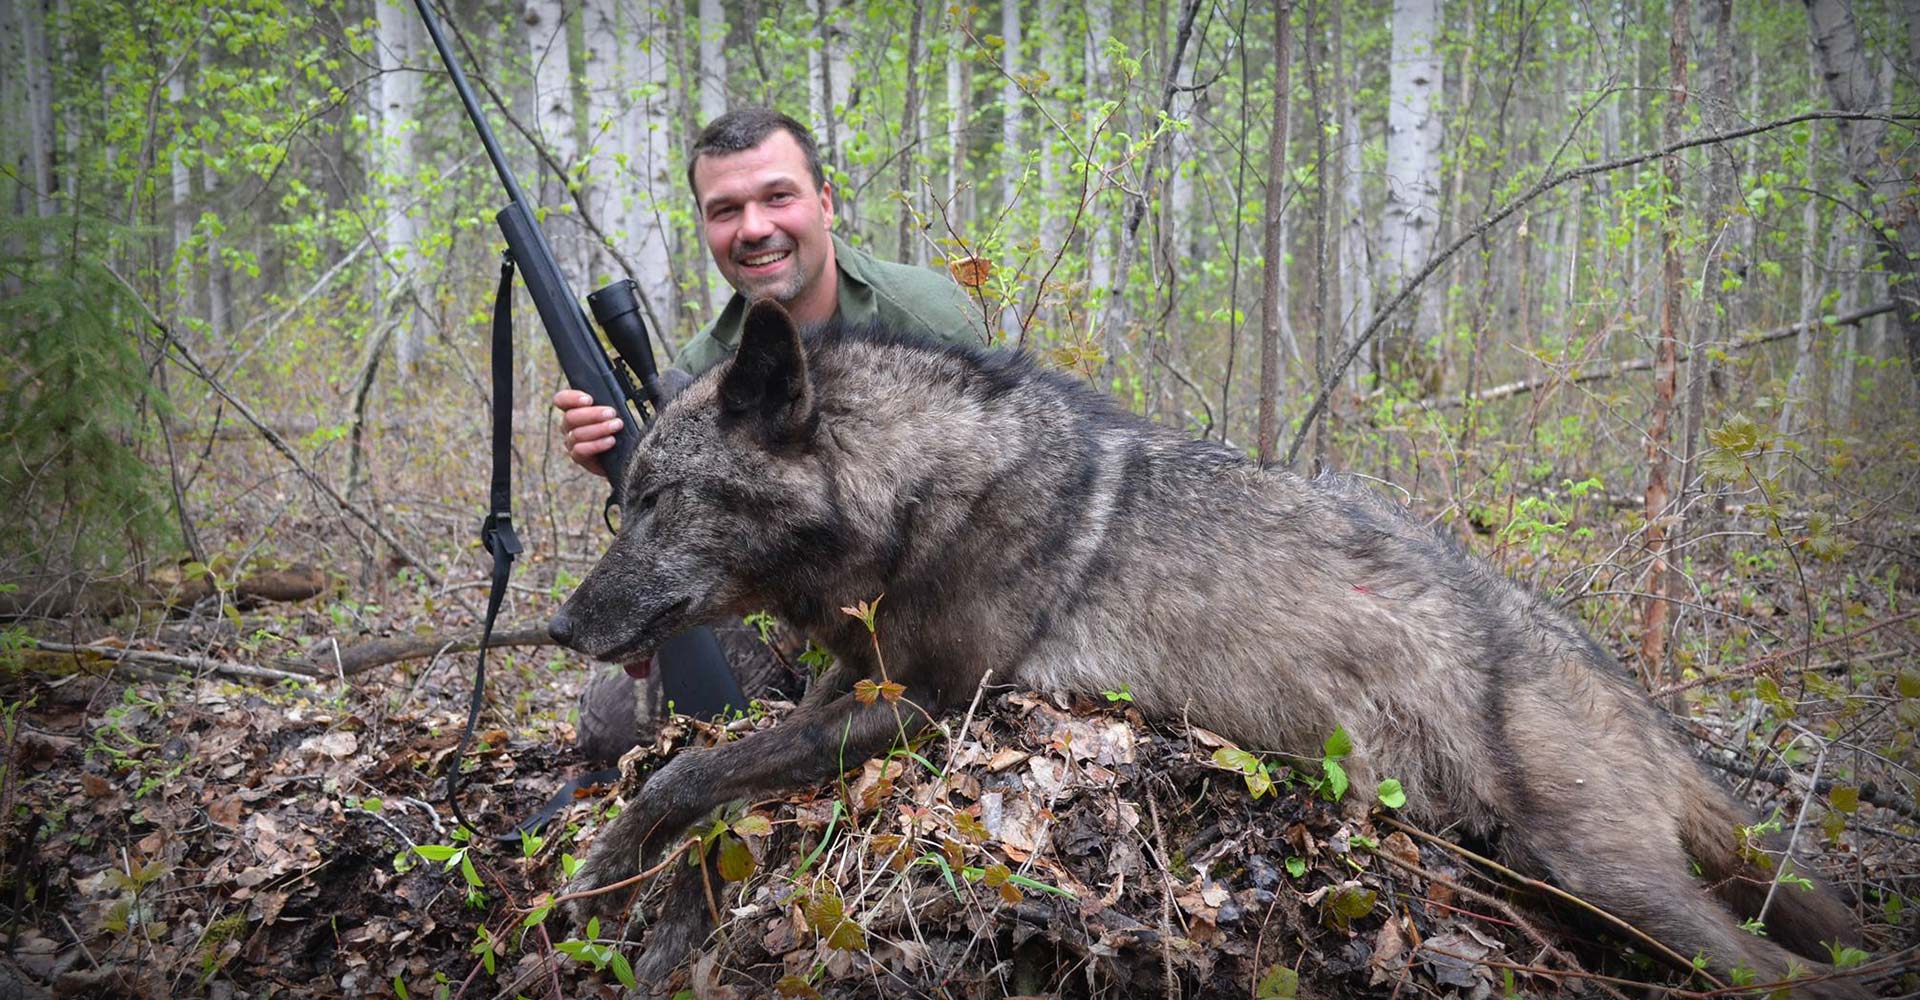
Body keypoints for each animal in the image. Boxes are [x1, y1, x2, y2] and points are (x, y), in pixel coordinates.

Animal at [547, 301, 1866, 996]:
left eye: (656, 499)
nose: (558, 625)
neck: (918, 491)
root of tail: (1628, 691)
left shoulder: (931, 702)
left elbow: (689, 770)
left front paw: (595, 878)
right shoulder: (849, 678)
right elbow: (708, 788)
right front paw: (634, 908)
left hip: (1597, 876)